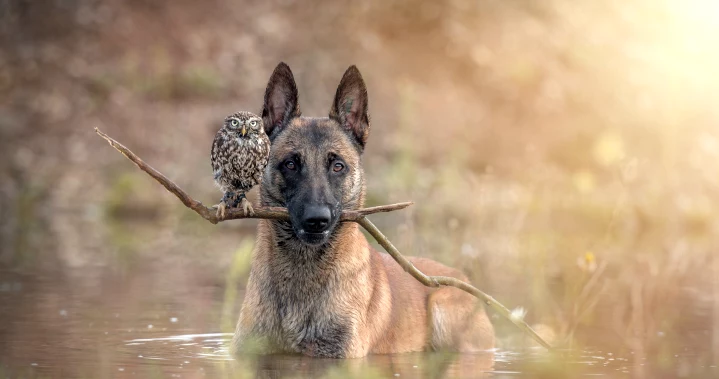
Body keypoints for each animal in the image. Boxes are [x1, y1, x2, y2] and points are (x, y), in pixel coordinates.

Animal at [231, 62, 496, 360]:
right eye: (290, 164)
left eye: (338, 166)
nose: (317, 220)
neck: (303, 270)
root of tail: (461, 276)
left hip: (443, 307)